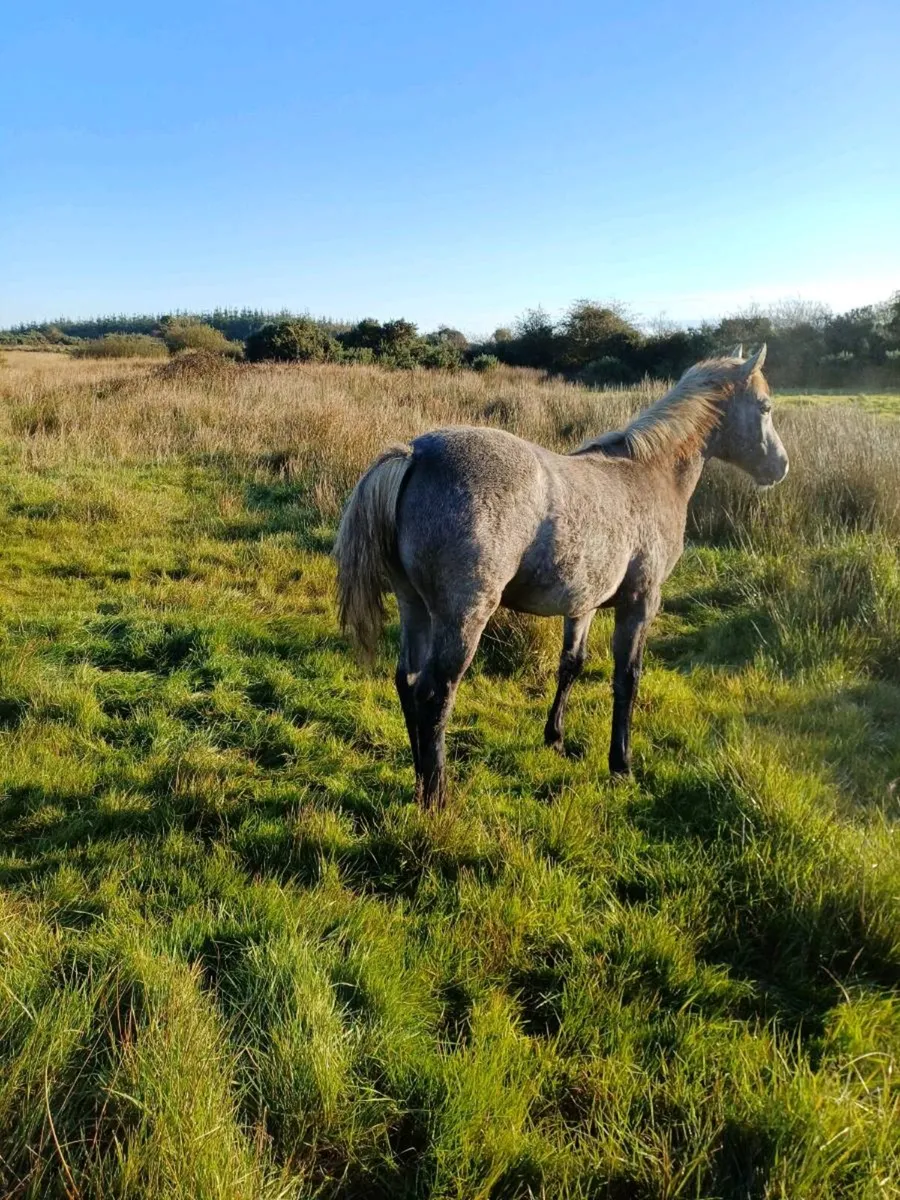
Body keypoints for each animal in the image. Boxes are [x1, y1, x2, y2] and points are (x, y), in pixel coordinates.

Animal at [334, 345, 788, 807]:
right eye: (765, 406)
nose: (780, 466)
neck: (649, 472)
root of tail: (415, 453)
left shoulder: (583, 603)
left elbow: (571, 664)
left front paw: (554, 736)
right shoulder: (640, 602)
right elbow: (627, 678)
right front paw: (621, 764)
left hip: (414, 606)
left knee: (407, 682)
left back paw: (419, 778)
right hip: (462, 617)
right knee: (434, 693)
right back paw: (437, 795)